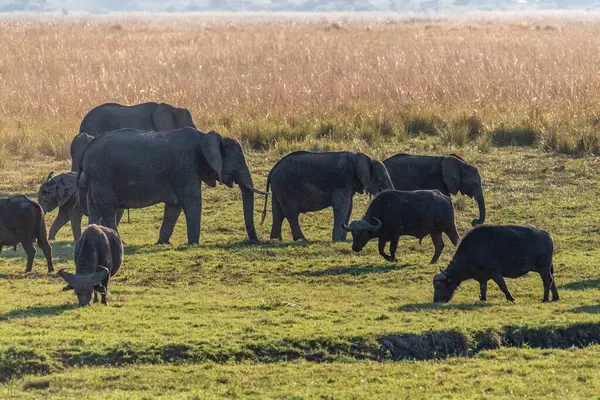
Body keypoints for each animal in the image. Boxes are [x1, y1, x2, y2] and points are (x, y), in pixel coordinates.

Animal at [78, 126, 266, 244]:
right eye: (239, 163)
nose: (253, 241)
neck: (205, 136)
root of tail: (86, 150)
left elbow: (174, 207)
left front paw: (162, 243)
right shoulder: (186, 166)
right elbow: (192, 201)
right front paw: (193, 243)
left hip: (94, 179)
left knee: (94, 210)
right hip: (102, 176)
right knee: (107, 210)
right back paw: (119, 242)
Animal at [262, 152, 394, 242]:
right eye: (380, 179)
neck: (359, 158)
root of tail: (272, 171)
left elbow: (348, 207)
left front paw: (342, 239)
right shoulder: (342, 180)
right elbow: (341, 205)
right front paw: (338, 240)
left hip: (278, 188)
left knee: (278, 213)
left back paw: (276, 239)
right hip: (285, 187)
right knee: (291, 213)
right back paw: (301, 239)